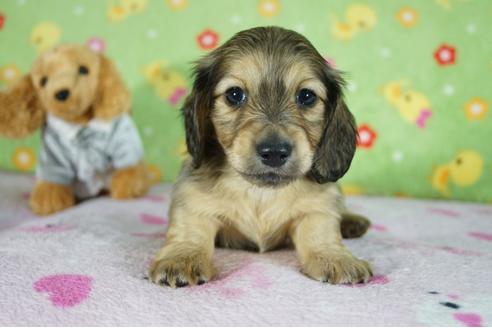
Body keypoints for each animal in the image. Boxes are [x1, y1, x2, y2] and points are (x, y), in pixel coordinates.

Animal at [150, 26, 372, 288]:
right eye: (234, 94)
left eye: (306, 96)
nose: (274, 152)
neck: (260, 194)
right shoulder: (193, 202)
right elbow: (188, 231)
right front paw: (182, 257)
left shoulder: (319, 206)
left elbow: (321, 233)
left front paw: (335, 257)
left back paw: (351, 221)